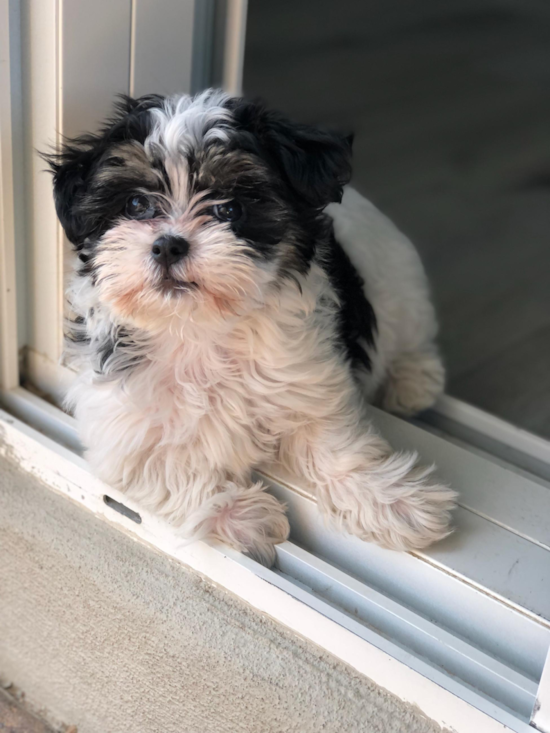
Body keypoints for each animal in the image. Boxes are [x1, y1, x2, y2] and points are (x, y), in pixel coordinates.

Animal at [45, 88, 458, 564]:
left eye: (229, 208)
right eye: (135, 205)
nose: (168, 244)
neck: (199, 328)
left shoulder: (308, 382)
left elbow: (336, 444)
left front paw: (394, 503)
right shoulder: (121, 427)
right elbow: (165, 468)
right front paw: (245, 515)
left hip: (400, 285)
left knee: (413, 335)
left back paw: (413, 382)